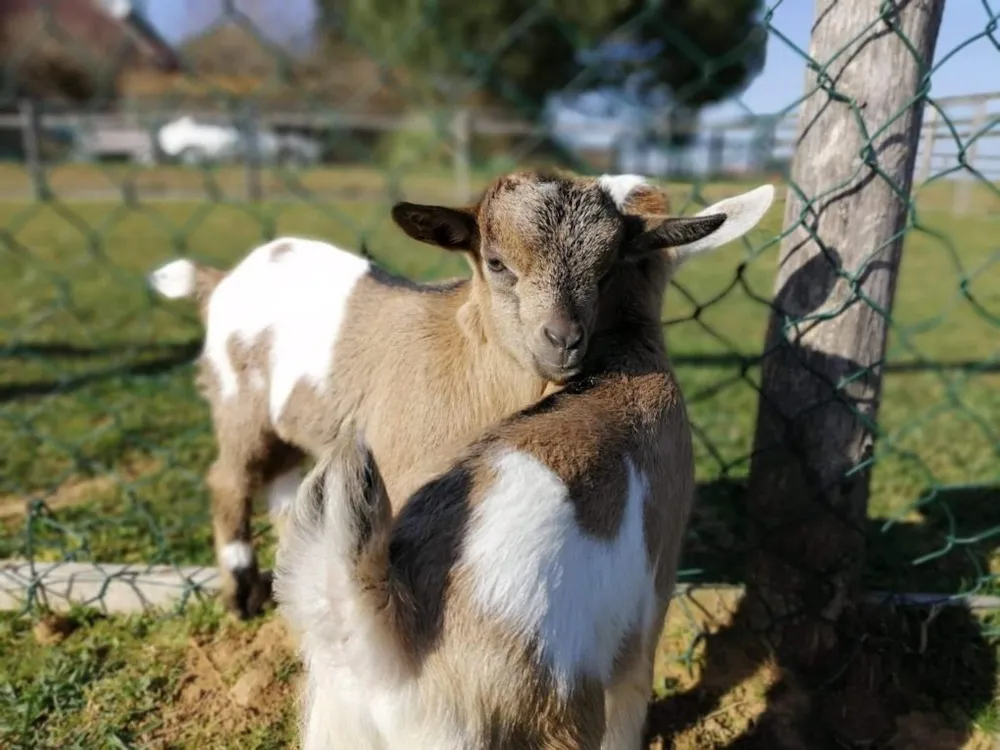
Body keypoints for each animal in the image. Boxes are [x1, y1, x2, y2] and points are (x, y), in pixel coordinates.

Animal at [145, 173, 672, 620]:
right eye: (496, 263)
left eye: (606, 273)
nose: (563, 340)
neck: (468, 362)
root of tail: (222, 280)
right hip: (236, 396)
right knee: (228, 479)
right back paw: (240, 595)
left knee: (279, 483)